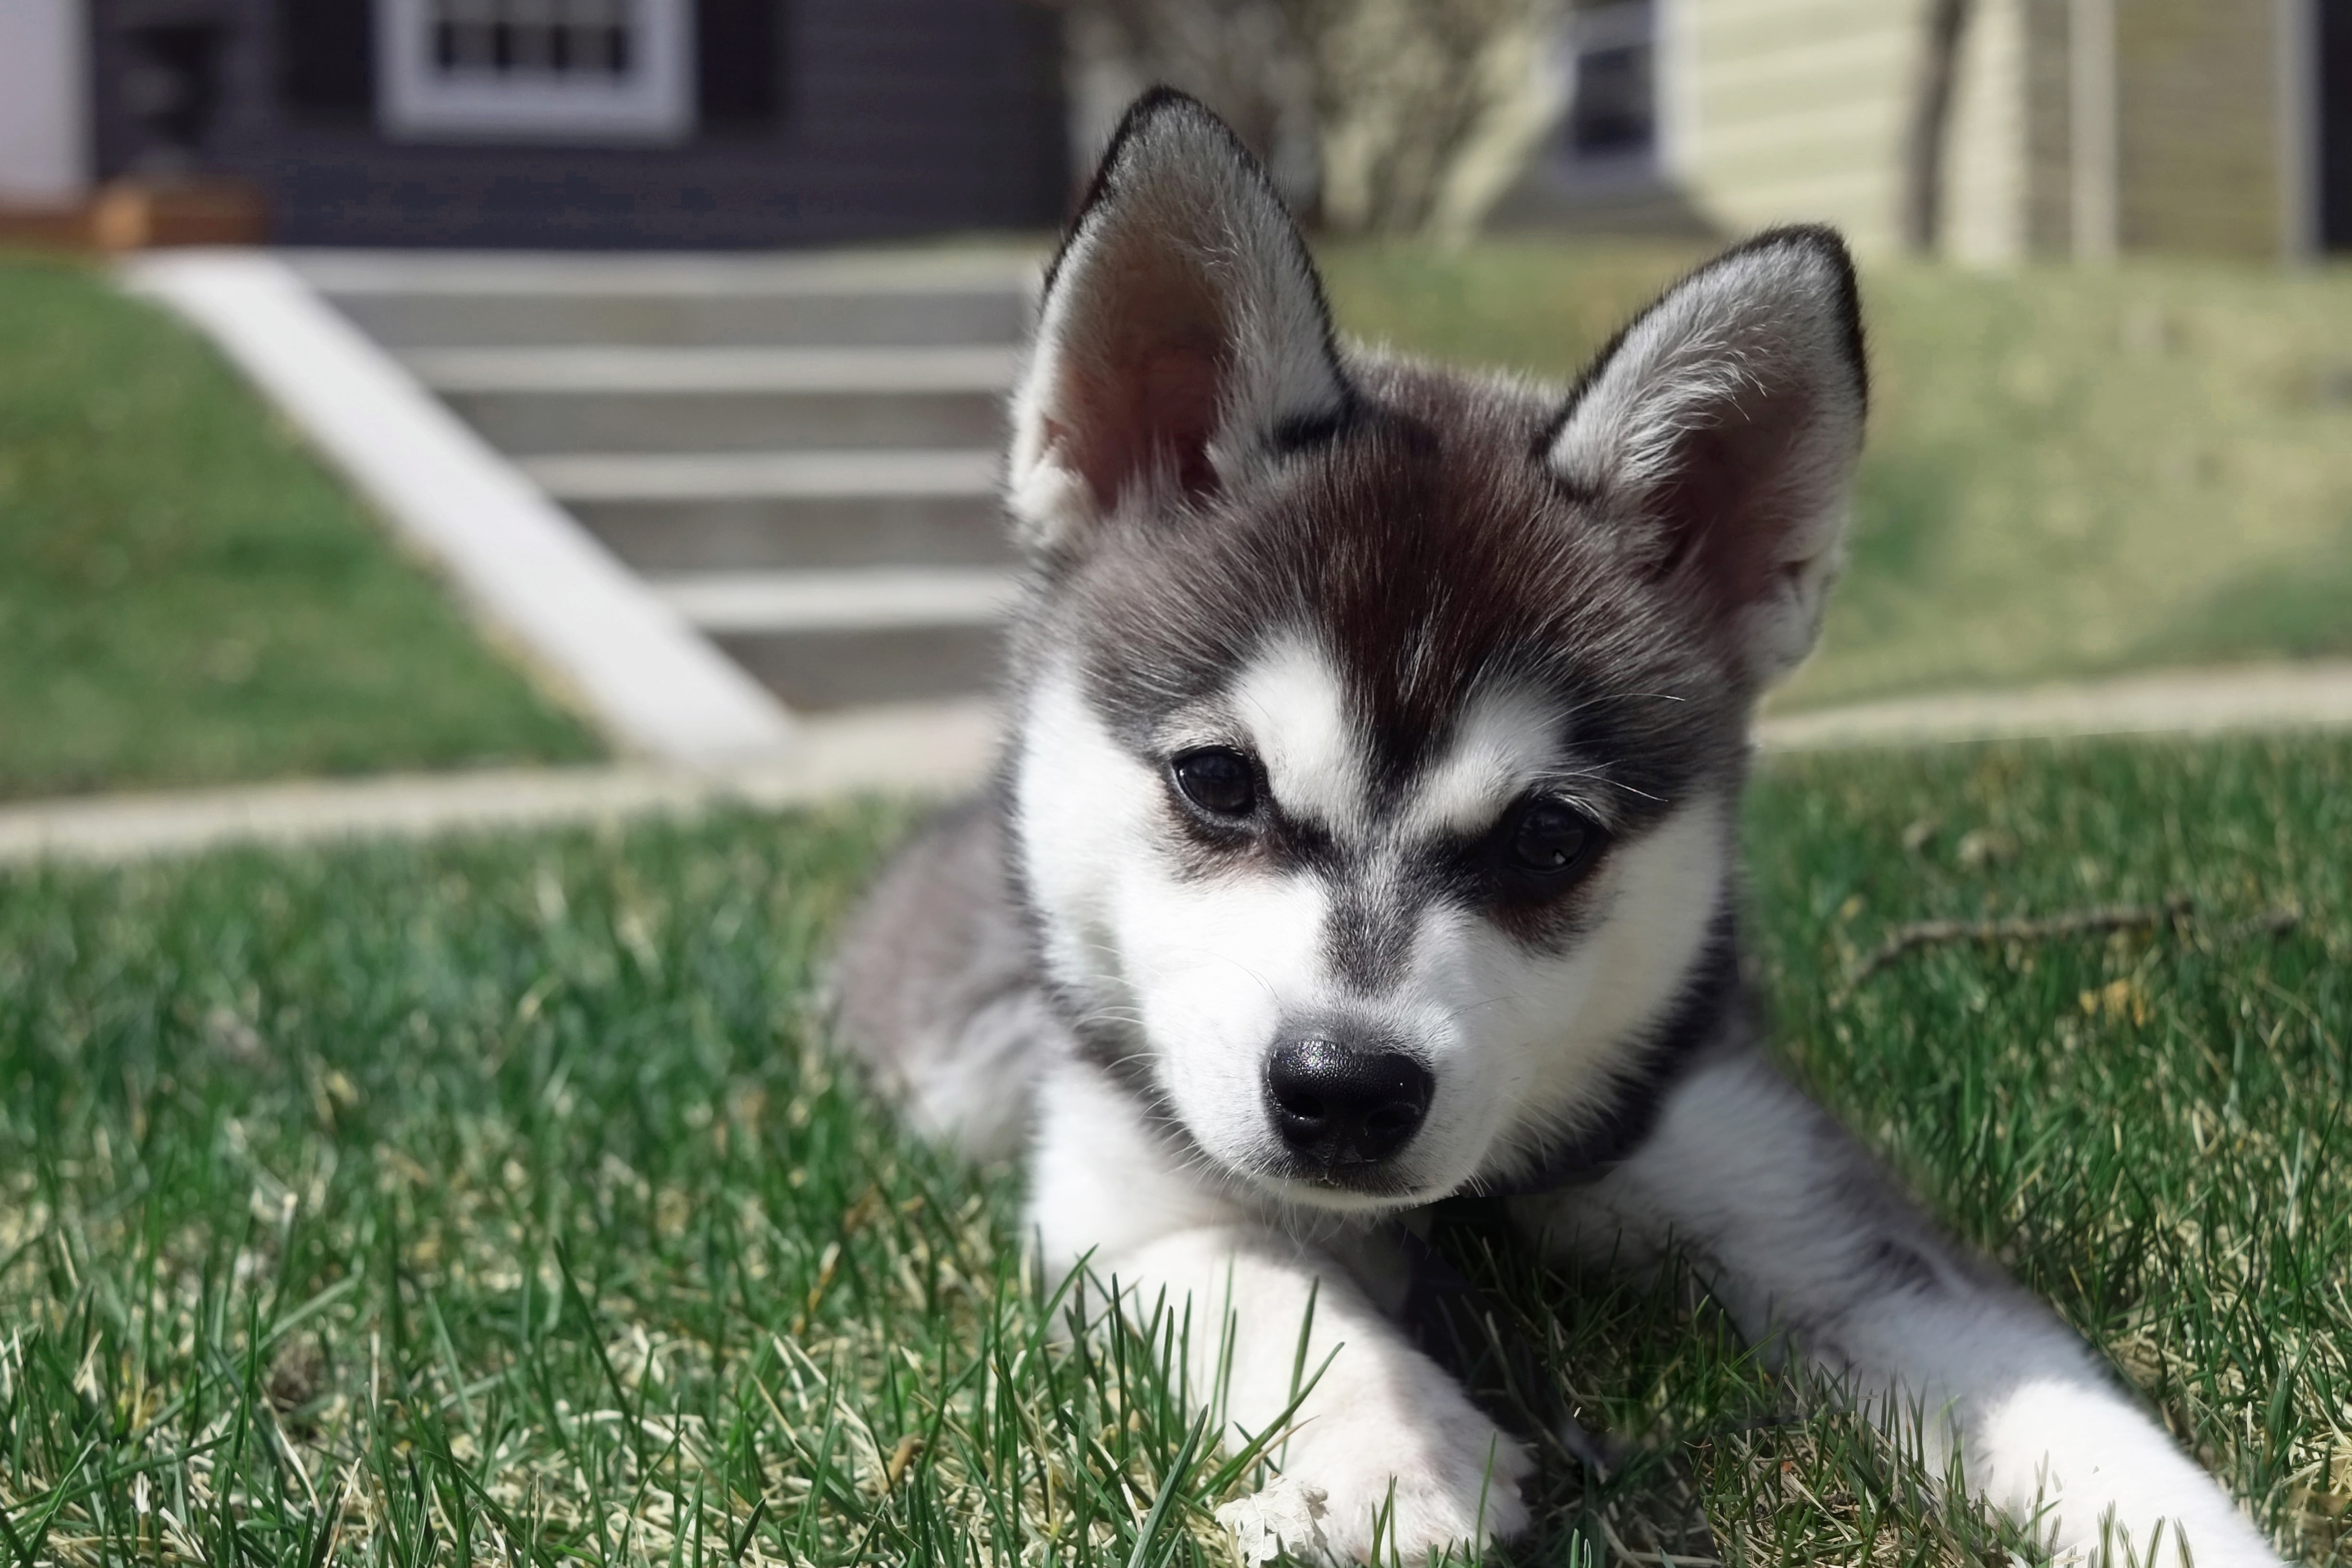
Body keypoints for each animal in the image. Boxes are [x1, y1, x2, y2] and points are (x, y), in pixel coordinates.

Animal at [837, 95, 2286, 1568]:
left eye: (1545, 839)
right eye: (1219, 782)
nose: (1345, 1091)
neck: (1460, 1213)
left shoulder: (1803, 1198)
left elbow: (2043, 1393)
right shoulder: (1124, 1208)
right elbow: (1264, 1294)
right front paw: (1389, 1454)